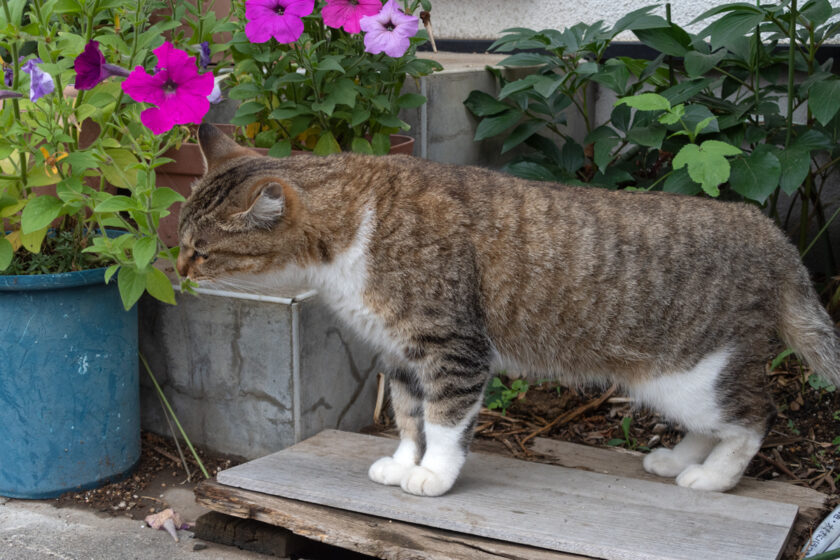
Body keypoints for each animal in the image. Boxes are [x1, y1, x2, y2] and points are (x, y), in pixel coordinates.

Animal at [177, 124, 840, 496]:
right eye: (182, 239)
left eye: (201, 249)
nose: (176, 268)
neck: (353, 227)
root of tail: (769, 232)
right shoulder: (399, 353)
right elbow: (409, 417)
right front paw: (404, 461)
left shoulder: (454, 348)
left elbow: (444, 420)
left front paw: (434, 475)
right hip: (672, 383)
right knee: (711, 424)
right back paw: (677, 460)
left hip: (697, 372)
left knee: (751, 418)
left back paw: (712, 477)